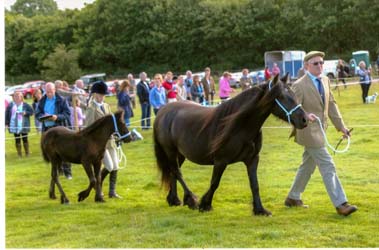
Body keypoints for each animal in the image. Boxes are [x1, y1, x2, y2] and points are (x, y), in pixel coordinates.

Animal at [154, 73, 308, 215]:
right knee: (177, 172)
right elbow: (214, 183)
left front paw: (260, 210)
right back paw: (190, 200)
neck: (241, 126)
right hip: (170, 151)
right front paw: (205, 205)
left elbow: (254, 185)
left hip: (180, 154)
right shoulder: (220, 161)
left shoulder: (252, 159)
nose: (304, 119)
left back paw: (174, 200)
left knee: (173, 172)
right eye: (281, 96)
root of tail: (163, 110)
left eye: (293, 93)